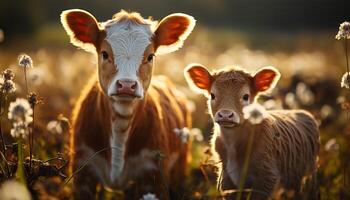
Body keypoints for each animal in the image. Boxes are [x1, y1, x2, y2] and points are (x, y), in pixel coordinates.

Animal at [185, 64, 318, 200]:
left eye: (245, 96)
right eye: (212, 95)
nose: (225, 115)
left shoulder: (266, 178)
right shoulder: (226, 179)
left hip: (309, 176)